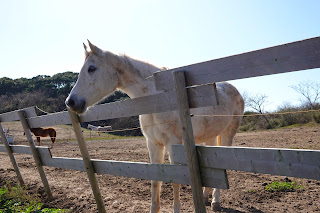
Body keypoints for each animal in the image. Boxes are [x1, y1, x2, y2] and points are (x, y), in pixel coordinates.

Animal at [66, 40, 244, 212]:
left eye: (91, 68)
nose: (71, 102)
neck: (157, 99)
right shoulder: (153, 143)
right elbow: (155, 180)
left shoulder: (174, 144)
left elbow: (175, 181)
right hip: (210, 136)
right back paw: (206, 198)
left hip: (228, 134)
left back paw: (215, 202)